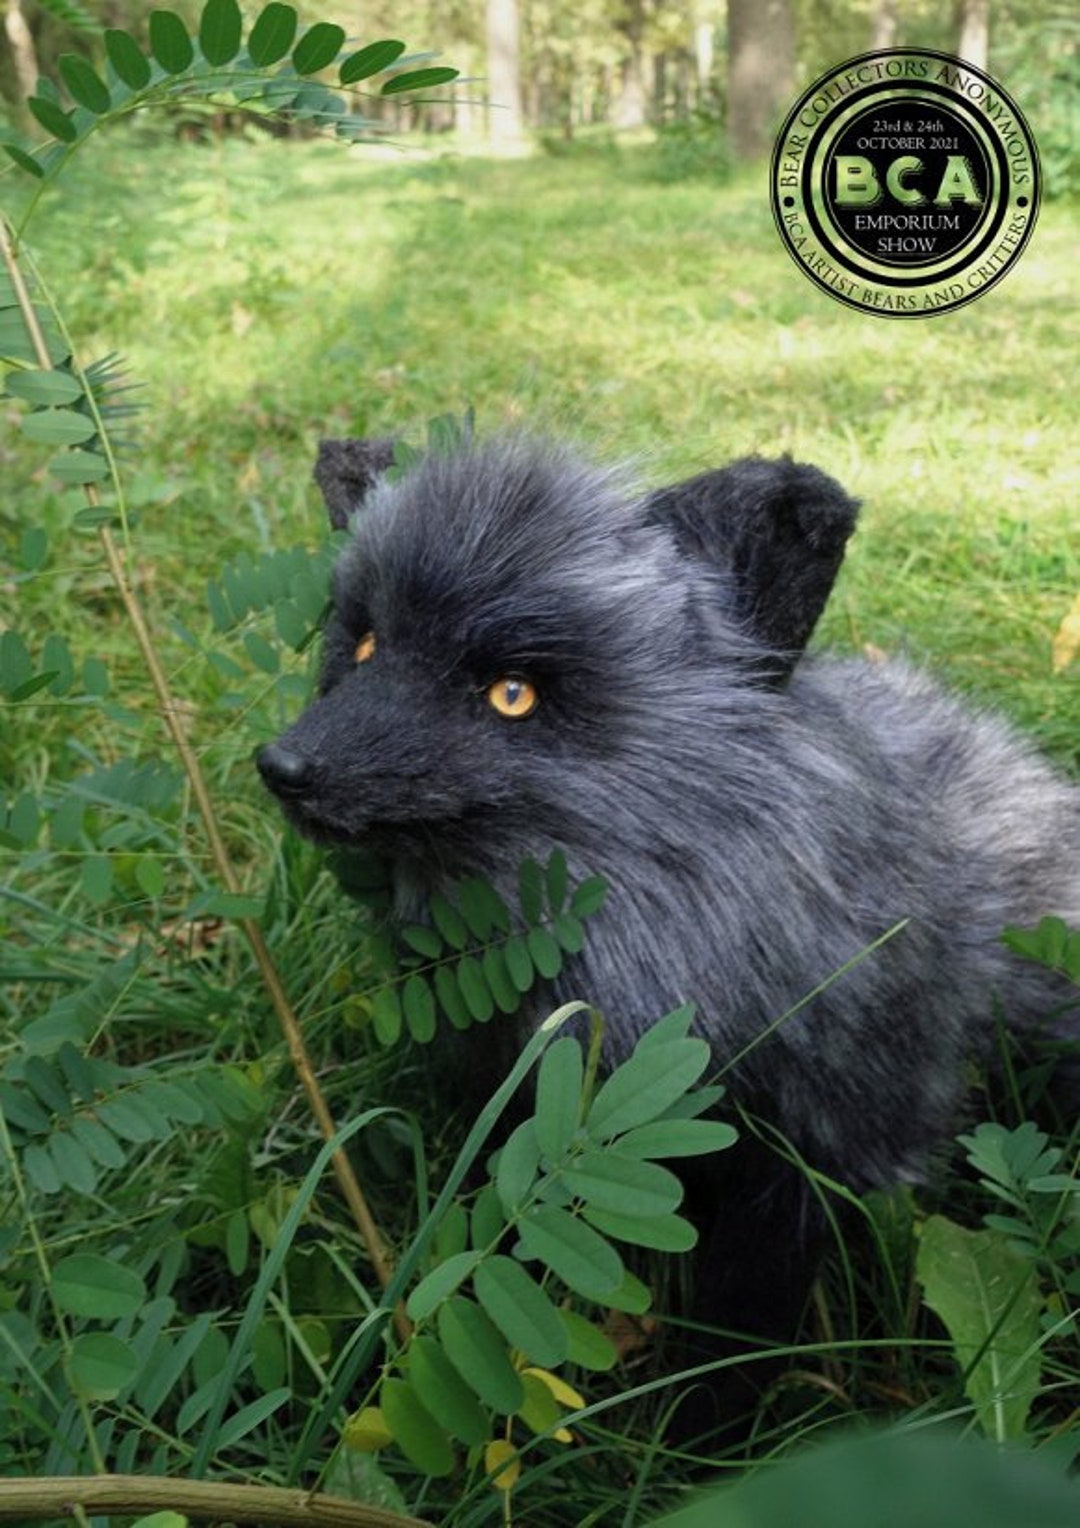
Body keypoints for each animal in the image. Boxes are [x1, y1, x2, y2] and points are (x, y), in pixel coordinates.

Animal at [258, 433, 1079, 1433]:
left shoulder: (813, 1160)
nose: (284, 767)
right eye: (367, 642)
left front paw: (699, 1441)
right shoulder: (523, 1110)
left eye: (512, 693)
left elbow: (735, 1338)